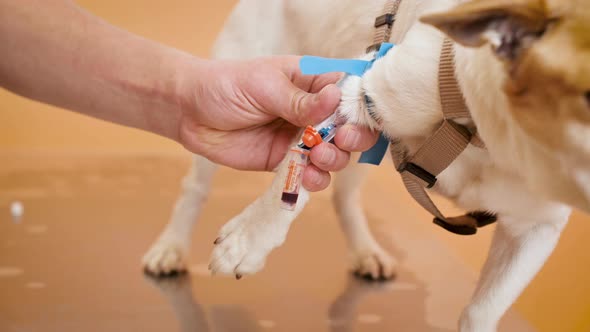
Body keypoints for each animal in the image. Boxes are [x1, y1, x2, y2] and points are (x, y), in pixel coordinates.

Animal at [143, 1, 590, 330]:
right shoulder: (360, 91)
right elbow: (293, 176)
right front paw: (249, 241)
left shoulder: (535, 230)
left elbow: (482, 310)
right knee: (195, 189)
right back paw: (170, 248)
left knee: (344, 197)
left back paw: (365, 251)